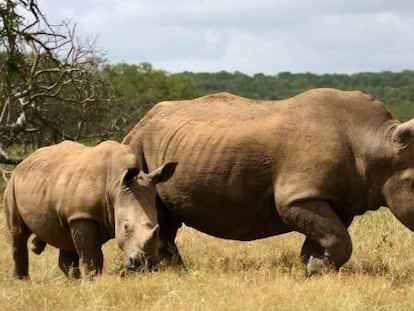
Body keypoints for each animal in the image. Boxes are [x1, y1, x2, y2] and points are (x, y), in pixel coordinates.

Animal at [3, 141, 175, 280]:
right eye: (126, 228)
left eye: (157, 226)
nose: (146, 264)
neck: (115, 186)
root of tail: (25, 160)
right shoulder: (82, 215)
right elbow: (90, 255)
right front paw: (91, 284)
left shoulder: (79, 214)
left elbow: (92, 255)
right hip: (13, 183)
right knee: (18, 233)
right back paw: (20, 281)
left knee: (65, 239)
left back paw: (73, 281)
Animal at [123, 89, 414, 276]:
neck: (377, 145)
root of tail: (140, 121)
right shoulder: (298, 196)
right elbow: (337, 237)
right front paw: (316, 269)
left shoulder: (341, 198)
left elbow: (329, 234)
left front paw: (312, 265)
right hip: (137, 146)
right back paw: (171, 273)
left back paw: (173, 271)